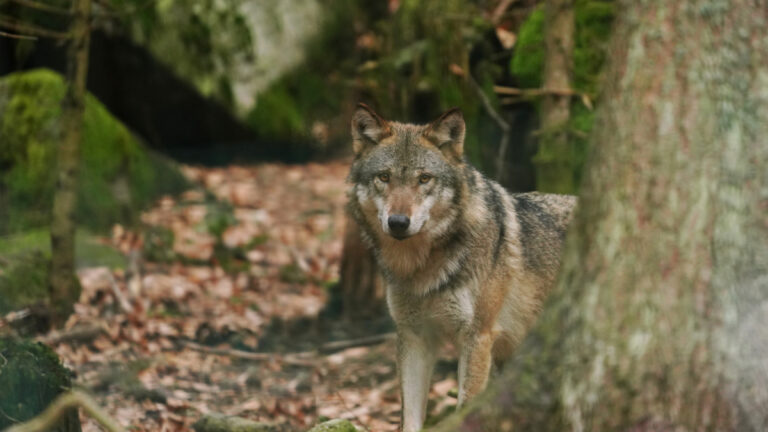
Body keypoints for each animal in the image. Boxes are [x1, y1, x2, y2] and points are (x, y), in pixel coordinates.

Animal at [346, 103, 576, 431]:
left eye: (424, 178)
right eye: (384, 177)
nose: (398, 222)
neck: (422, 269)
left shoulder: (477, 338)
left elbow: (465, 409)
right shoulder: (414, 337)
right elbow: (409, 419)